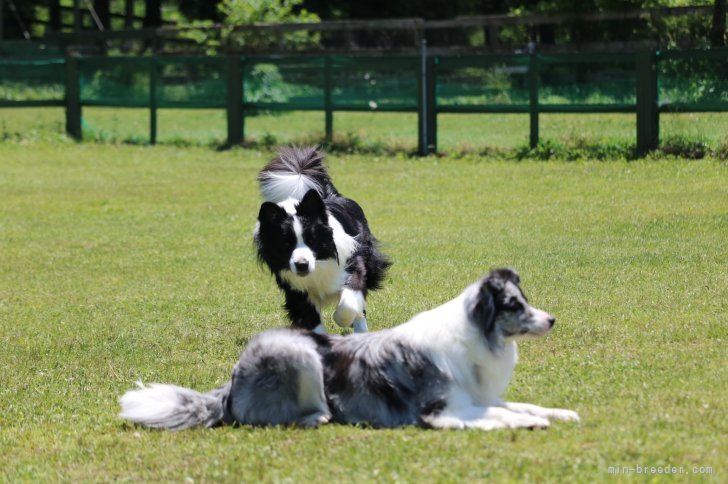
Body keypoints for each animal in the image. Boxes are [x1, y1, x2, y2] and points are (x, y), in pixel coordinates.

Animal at [256, 147, 392, 332]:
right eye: (285, 243)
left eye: (312, 240)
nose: (302, 264)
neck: (319, 264)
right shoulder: (295, 290)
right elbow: (311, 319)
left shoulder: (354, 266)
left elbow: (348, 305)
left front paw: (343, 320)